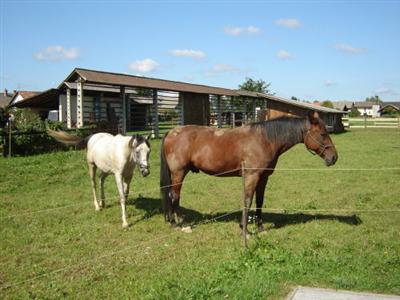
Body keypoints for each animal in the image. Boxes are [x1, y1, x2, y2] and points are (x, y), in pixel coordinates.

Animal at [159, 111, 338, 236]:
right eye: (323, 134)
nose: (334, 157)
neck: (265, 139)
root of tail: (171, 132)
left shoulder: (263, 178)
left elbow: (259, 201)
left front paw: (260, 228)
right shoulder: (252, 176)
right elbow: (248, 200)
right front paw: (245, 231)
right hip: (179, 173)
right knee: (174, 196)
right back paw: (181, 225)